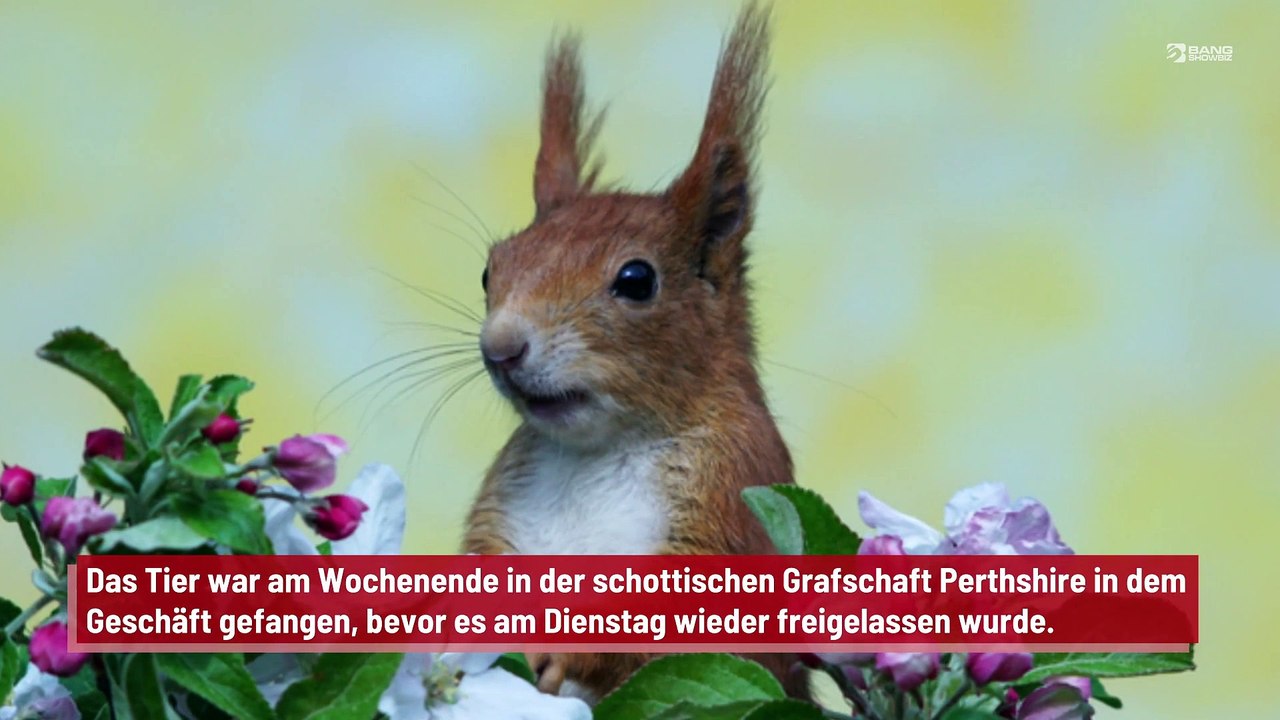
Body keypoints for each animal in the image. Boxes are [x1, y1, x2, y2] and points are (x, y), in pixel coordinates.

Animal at [462, 2, 806, 703]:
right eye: (490, 270)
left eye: (637, 280)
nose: (501, 346)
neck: (596, 454)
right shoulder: (499, 515)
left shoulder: (738, 500)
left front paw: (566, 650)